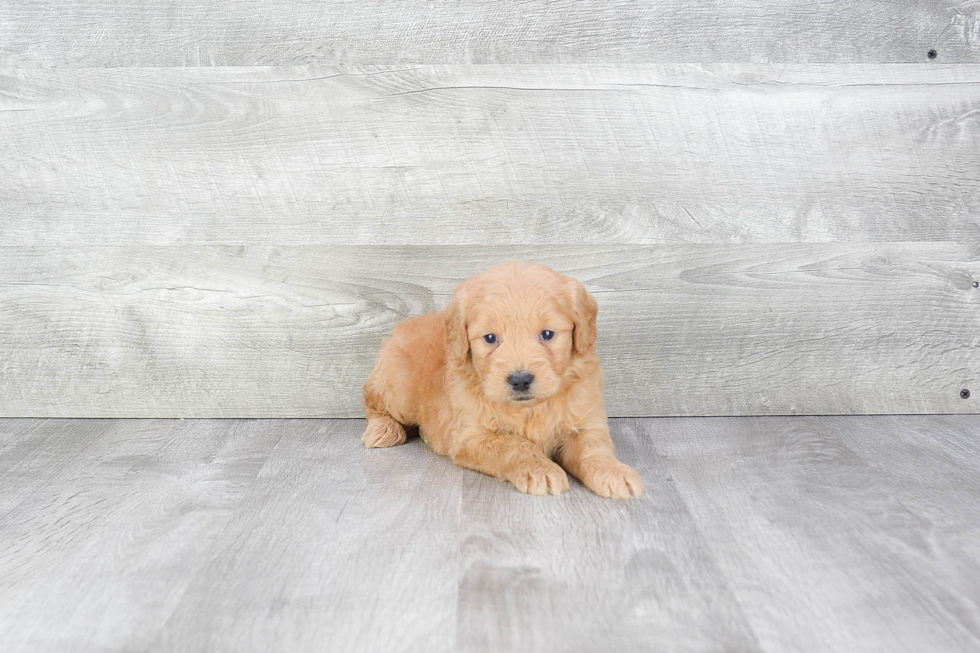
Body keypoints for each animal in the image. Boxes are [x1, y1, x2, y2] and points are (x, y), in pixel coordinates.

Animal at [360, 260, 644, 500]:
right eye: (490, 338)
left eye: (547, 334)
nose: (520, 380)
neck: (531, 409)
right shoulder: (472, 436)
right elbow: (514, 445)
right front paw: (541, 470)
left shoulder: (585, 420)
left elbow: (594, 447)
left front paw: (614, 472)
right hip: (398, 387)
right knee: (371, 399)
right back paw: (383, 429)